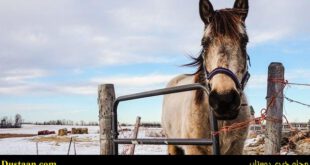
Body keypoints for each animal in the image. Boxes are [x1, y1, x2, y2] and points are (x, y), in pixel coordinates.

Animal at [162, 0, 252, 155]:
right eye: (204, 43)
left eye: (244, 41)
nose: (224, 99)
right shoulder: (194, 149)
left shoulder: (236, 147)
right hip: (172, 143)